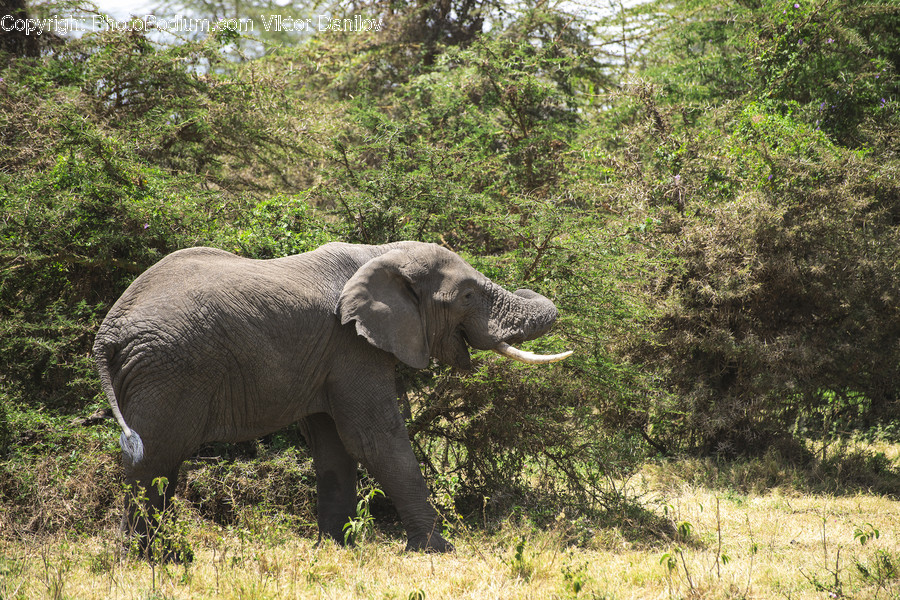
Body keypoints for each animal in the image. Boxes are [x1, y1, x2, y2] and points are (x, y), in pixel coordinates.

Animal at [93, 241, 571, 557]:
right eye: (468, 296)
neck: (381, 253)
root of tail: (108, 332)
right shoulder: (352, 344)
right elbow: (374, 437)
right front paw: (438, 549)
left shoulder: (327, 355)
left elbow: (334, 444)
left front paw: (336, 548)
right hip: (167, 370)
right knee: (154, 460)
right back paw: (147, 560)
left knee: (160, 464)